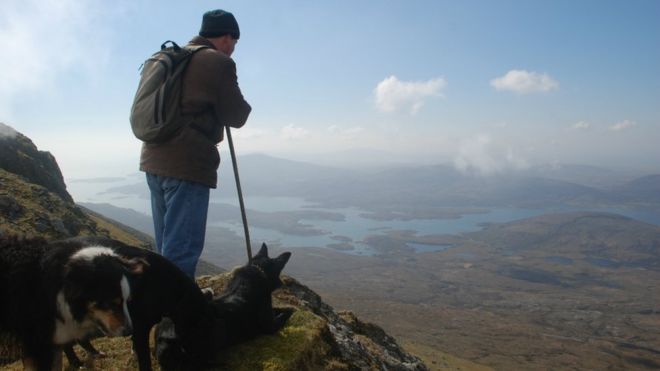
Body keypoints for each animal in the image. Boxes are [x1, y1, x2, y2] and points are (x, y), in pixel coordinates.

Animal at [156, 246, 292, 370]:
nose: (283, 284)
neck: (257, 269)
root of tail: (167, 337)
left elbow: (278, 309)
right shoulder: (270, 326)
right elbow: (287, 312)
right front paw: (289, 310)